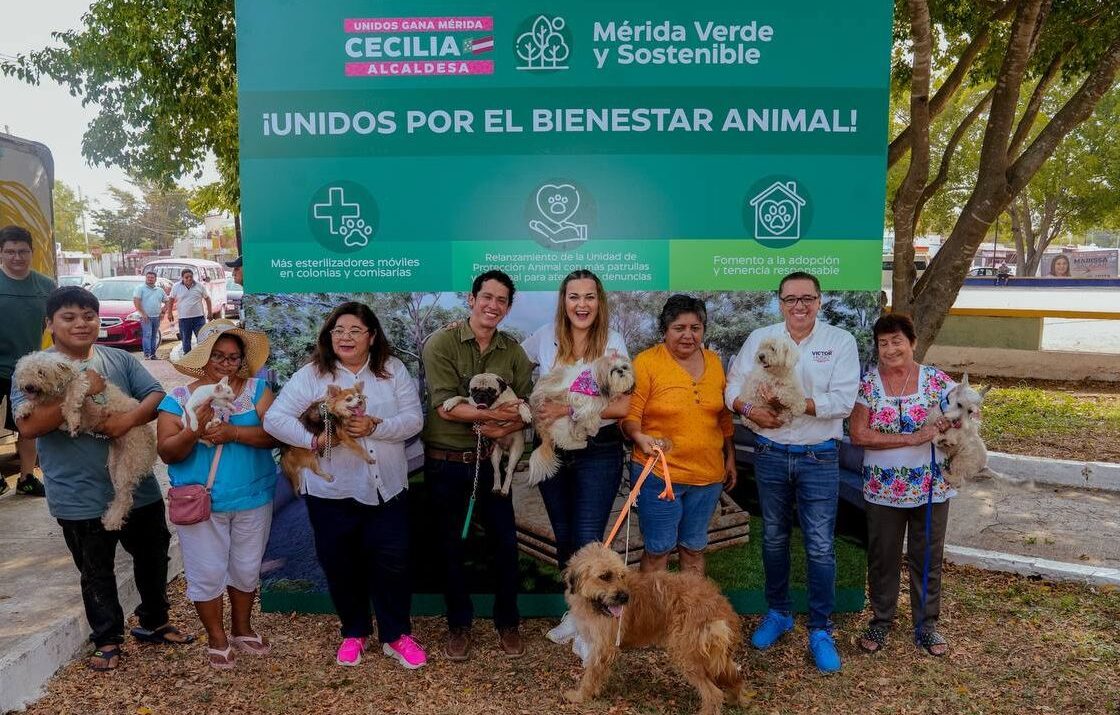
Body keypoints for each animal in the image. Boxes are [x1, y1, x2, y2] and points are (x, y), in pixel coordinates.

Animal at [10, 354, 156, 533]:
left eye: (41, 372)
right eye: (25, 372)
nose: (28, 387)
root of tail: (150, 438)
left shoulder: (80, 383)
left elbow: (70, 400)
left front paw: (72, 421)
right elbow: (39, 406)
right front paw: (24, 409)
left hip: (129, 462)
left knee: (125, 497)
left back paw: (113, 520)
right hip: (114, 463)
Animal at [526, 354, 636, 488]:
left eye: (624, 367)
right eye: (613, 370)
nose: (621, 371)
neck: (594, 381)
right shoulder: (580, 398)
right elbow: (590, 410)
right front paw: (593, 427)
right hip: (560, 421)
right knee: (563, 440)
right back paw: (579, 443)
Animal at [564, 542, 748, 715]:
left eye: (622, 576)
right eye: (605, 576)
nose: (625, 598)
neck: (592, 603)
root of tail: (720, 606)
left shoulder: (604, 647)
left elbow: (591, 674)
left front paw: (580, 696)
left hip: (688, 655)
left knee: (714, 693)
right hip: (713, 657)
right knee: (735, 676)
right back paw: (736, 699)